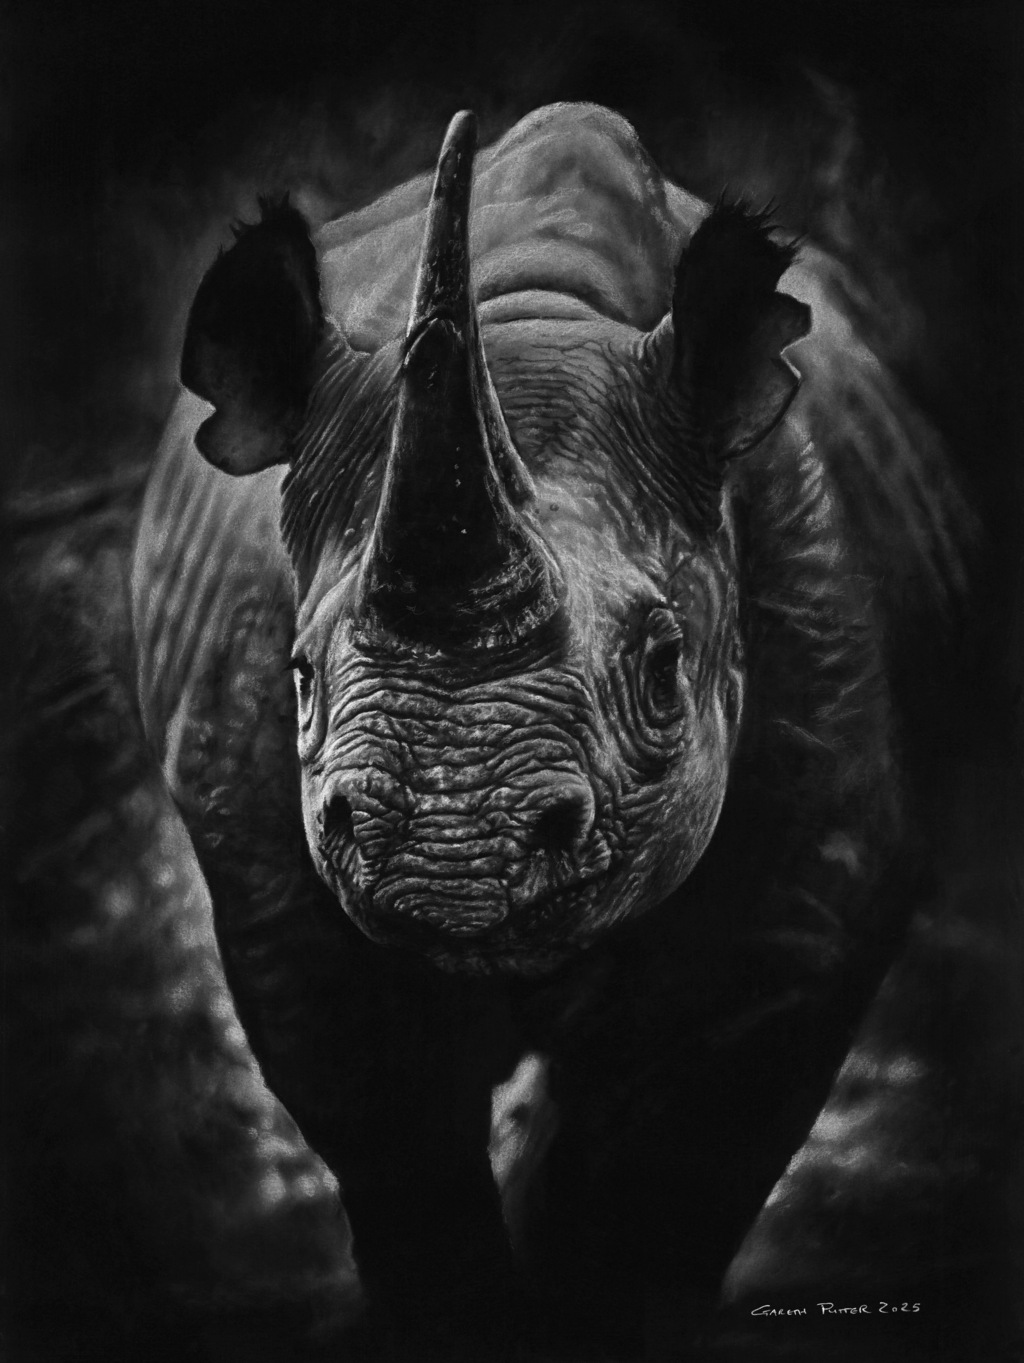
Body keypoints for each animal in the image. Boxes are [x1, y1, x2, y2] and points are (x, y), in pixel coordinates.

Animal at [132, 104, 965, 1357]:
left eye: (665, 666)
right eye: (300, 674)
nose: (448, 856)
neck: (530, 312)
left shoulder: (807, 897)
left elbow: (653, 1183)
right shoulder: (280, 896)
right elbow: (397, 1144)